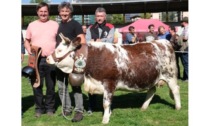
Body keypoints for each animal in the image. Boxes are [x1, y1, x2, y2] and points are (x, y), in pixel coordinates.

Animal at [46, 33, 180, 124]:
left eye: (59, 50)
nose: (47, 58)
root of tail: (164, 42)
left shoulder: (109, 82)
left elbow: (106, 103)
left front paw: (105, 119)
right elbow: (108, 103)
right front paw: (108, 114)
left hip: (170, 75)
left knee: (175, 90)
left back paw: (178, 108)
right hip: (151, 77)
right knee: (152, 90)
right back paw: (143, 107)